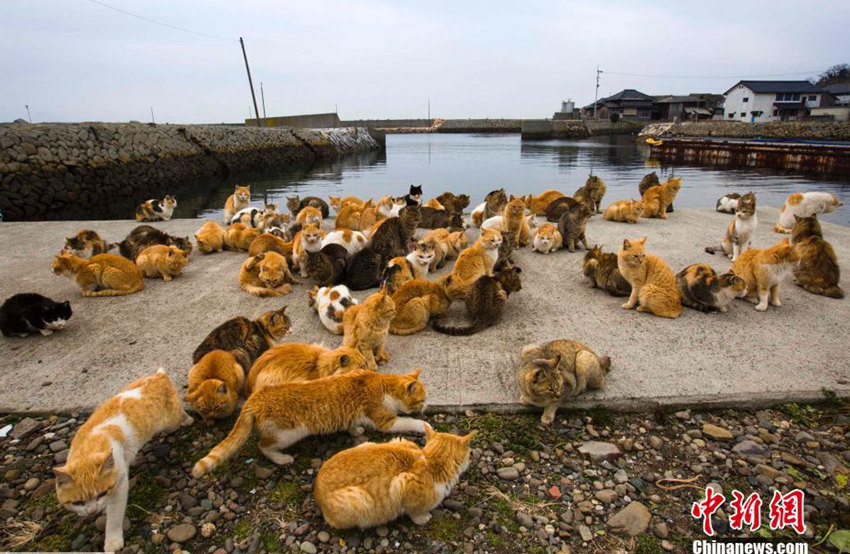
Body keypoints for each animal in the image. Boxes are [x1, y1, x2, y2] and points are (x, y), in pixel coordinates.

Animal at [55, 366, 191, 552]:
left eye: (102, 493)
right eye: (78, 502)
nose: (92, 511)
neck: (87, 450)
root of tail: (159, 375)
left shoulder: (119, 485)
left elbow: (114, 516)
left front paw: (112, 541)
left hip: (171, 420)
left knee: (180, 415)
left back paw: (188, 419)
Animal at [193, 366, 428, 474]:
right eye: (422, 399)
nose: (426, 406)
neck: (383, 384)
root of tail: (256, 397)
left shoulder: (351, 413)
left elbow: (352, 424)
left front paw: (356, 431)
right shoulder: (385, 420)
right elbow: (408, 421)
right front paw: (424, 425)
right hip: (288, 433)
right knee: (263, 445)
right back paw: (281, 459)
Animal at [314, 424, 474, 528]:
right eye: (470, 453)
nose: (471, 458)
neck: (430, 461)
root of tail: (316, 488)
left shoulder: (401, 441)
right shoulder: (402, 483)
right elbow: (415, 510)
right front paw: (423, 518)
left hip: (369, 443)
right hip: (359, 499)